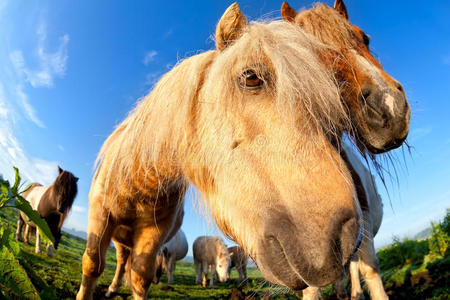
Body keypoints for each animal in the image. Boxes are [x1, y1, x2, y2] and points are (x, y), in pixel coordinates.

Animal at [76, 2, 366, 300]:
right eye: (251, 78)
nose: (341, 236)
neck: (138, 183)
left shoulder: (152, 233)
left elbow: (140, 277)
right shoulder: (99, 214)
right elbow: (92, 264)